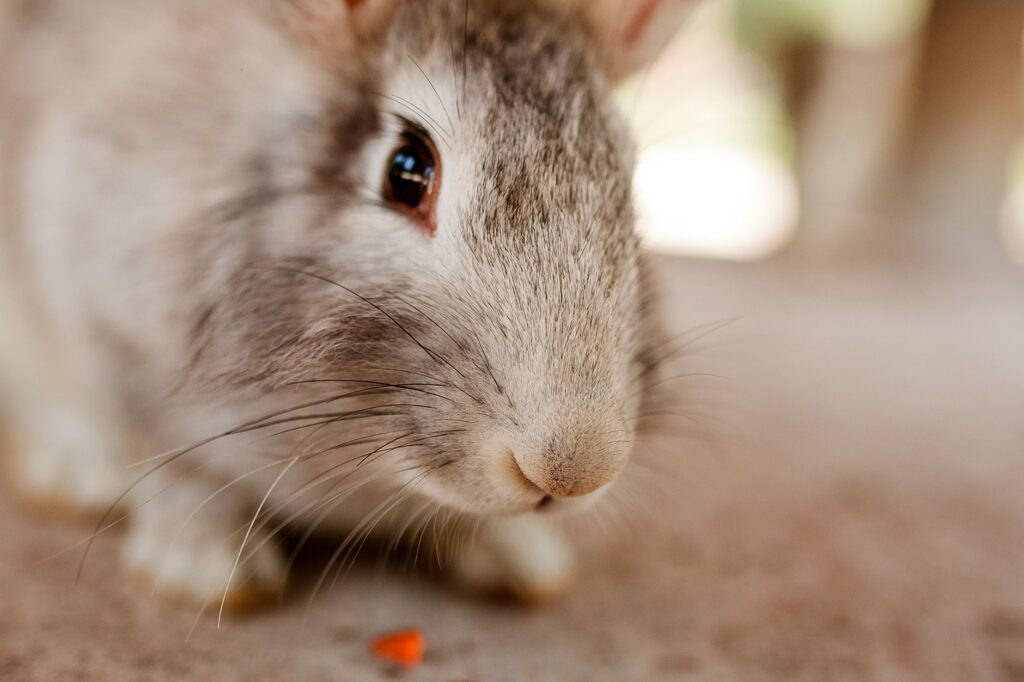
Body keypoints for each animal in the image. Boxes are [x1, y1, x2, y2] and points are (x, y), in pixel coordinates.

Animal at [0, 0, 692, 609]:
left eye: (627, 180)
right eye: (407, 169)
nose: (572, 471)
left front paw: (518, 557)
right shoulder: (115, 340)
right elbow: (178, 471)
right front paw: (207, 569)